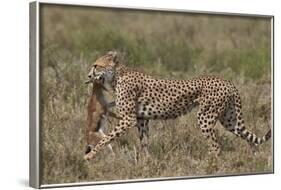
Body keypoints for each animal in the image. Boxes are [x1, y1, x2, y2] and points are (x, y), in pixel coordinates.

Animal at [82, 50, 270, 160]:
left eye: (96, 66)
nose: (89, 75)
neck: (117, 76)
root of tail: (227, 81)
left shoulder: (129, 119)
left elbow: (106, 138)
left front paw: (89, 156)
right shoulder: (142, 119)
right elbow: (144, 142)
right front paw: (146, 161)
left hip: (205, 117)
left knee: (216, 146)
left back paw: (207, 165)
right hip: (230, 119)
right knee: (249, 138)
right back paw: (255, 160)